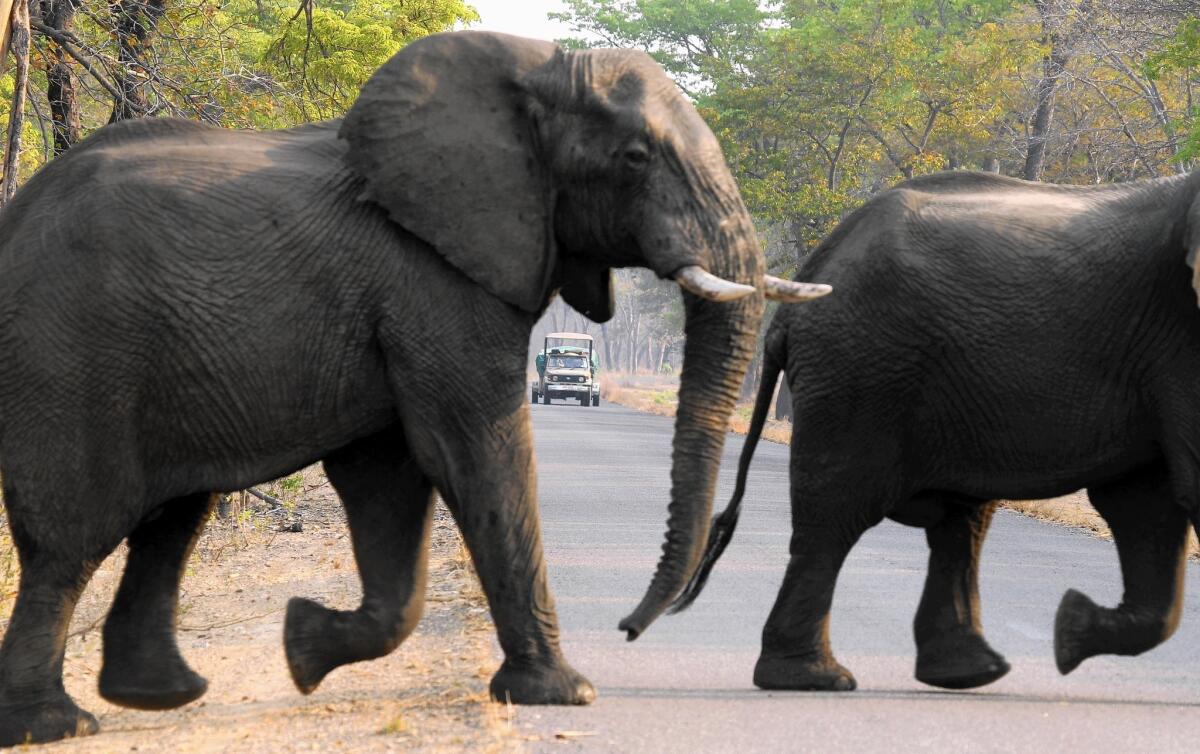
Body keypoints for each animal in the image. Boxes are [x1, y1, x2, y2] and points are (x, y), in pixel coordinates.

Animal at [0, 30, 830, 749]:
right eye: (633, 158)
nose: (631, 627)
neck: (532, 73)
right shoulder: (430, 276)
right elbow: (473, 449)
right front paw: (566, 695)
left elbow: (388, 477)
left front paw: (302, 645)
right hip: (68, 352)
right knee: (73, 540)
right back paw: (57, 725)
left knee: (169, 522)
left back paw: (160, 696)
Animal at [672, 169, 1200, 696]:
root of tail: (801, 285)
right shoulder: (1179, 339)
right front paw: (1070, 630)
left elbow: (1144, 507)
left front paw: (1071, 630)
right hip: (861, 370)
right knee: (834, 515)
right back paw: (814, 679)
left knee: (960, 523)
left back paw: (972, 671)